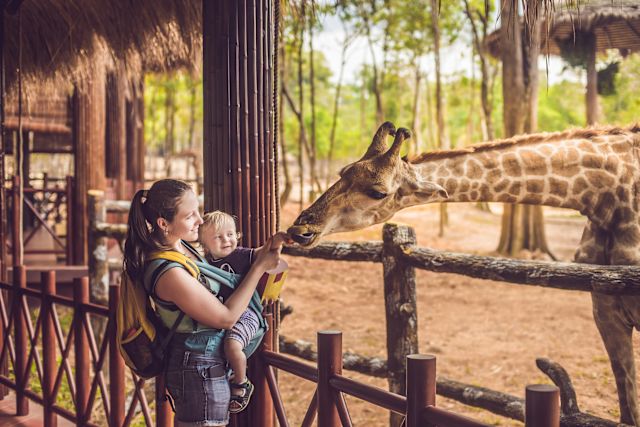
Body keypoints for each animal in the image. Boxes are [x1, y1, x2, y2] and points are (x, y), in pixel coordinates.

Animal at [288, 122, 640, 426]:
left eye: (378, 192)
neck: (606, 197)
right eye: (342, 172)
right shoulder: (604, 309)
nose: (300, 229)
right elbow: (628, 409)